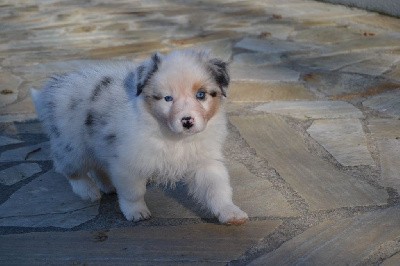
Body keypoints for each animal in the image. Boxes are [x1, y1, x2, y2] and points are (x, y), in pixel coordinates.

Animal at [31, 50, 248, 224]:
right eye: (168, 98)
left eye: (201, 95)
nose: (187, 121)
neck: (173, 136)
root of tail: (53, 90)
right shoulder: (128, 163)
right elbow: (133, 192)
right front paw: (137, 212)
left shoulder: (204, 161)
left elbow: (217, 188)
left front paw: (231, 212)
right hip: (72, 144)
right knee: (70, 170)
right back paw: (89, 191)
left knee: (98, 166)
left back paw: (107, 186)